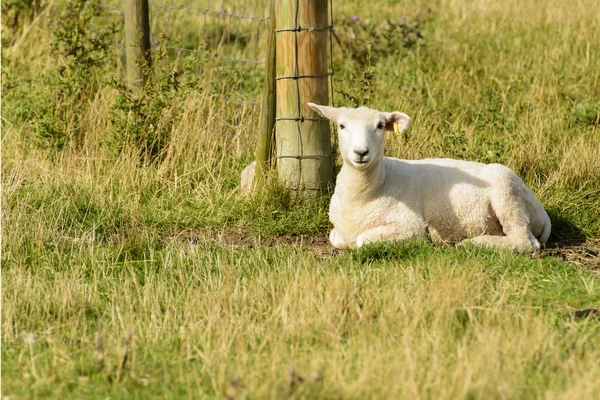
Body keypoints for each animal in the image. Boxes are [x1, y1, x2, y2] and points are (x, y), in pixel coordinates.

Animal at [310, 103, 552, 253]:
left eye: (380, 126)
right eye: (342, 126)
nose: (361, 152)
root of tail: (540, 210)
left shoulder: (410, 225)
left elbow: (362, 240)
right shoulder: (340, 231)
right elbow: (335, 238)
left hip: (507, 193)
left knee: (525, 241)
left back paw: (473, 244)